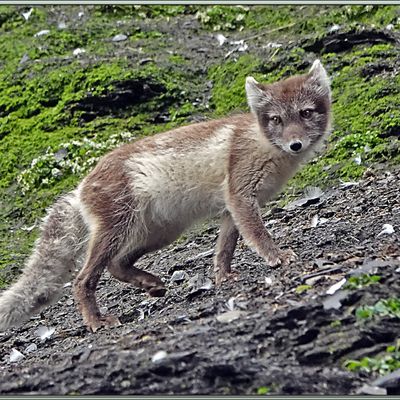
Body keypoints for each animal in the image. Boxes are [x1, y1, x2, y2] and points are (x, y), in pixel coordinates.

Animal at [0, 57, 332, 330]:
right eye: (276, 119)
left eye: (305, 113)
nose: (295, 145)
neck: (263, 144)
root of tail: (80, 186)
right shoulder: (240, 196)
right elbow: (259, 237)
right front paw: (277, 257)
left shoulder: (232, 208)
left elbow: (223, 250)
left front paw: (223, 278)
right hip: (117, 229)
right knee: (83, 280)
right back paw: (97, 322)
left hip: (158, 233)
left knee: (116, 264)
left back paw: (151, 285)